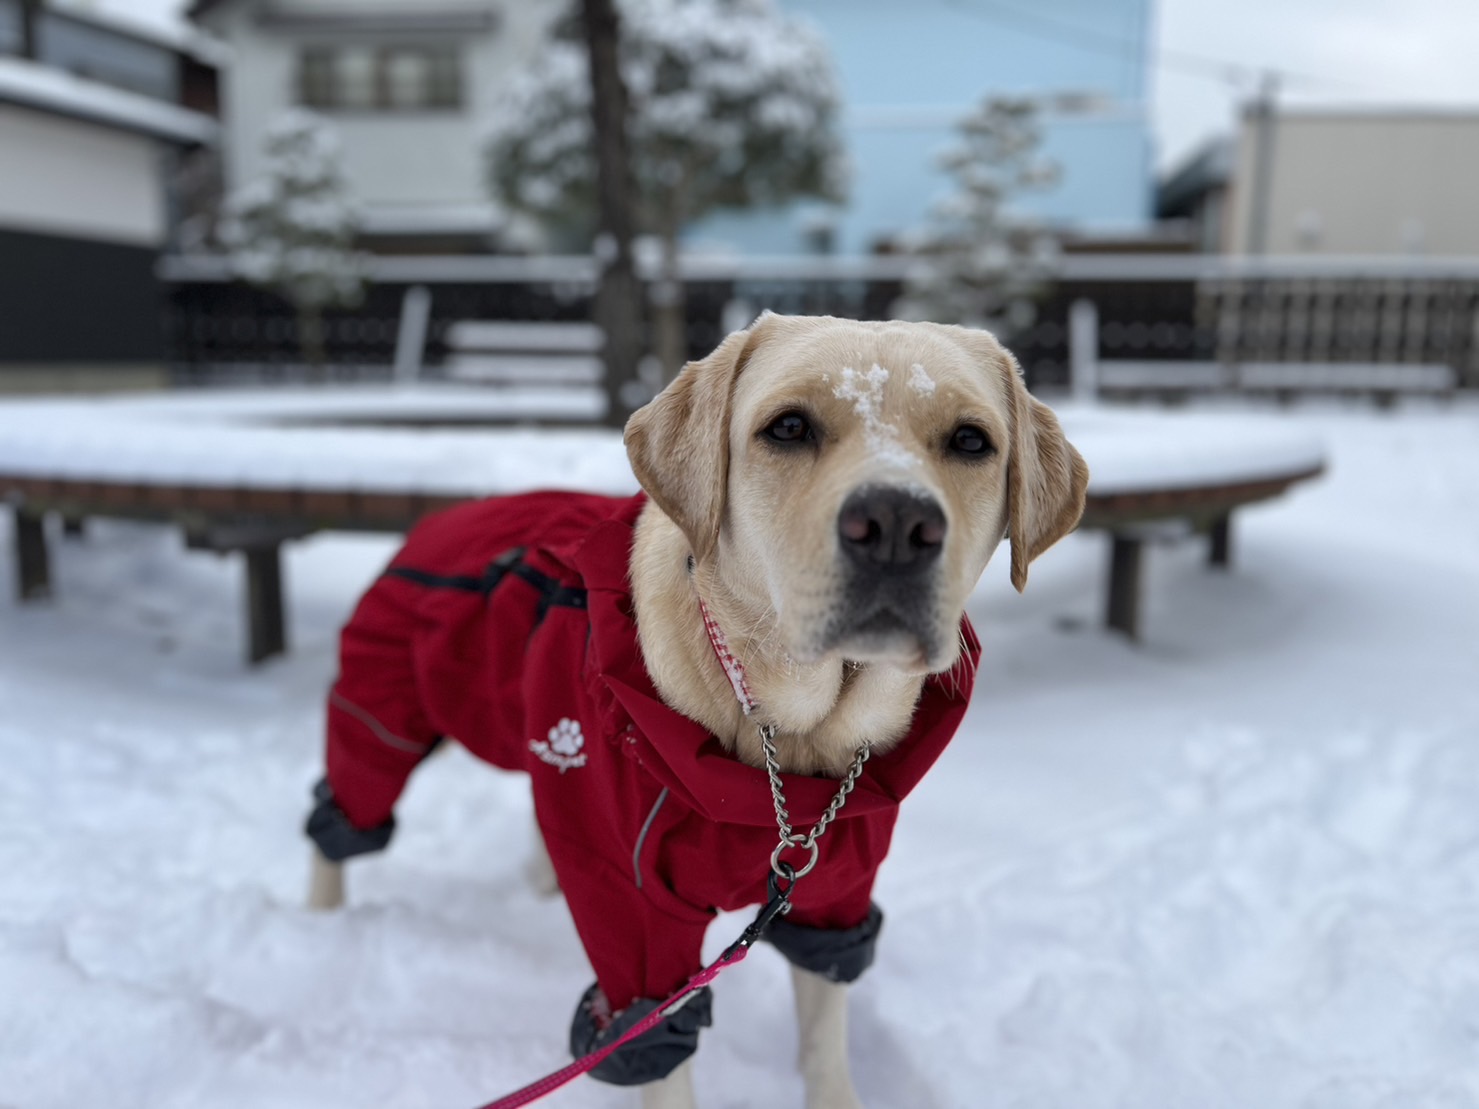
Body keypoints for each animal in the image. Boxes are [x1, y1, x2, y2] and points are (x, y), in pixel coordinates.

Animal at [306, 314, 1088, 1109]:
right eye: (788, 426)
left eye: (970, 440)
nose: (897, 523)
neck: (787, 741)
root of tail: (451, 513)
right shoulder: (633, 906)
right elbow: (654, 1042)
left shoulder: (835, 885)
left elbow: (825, 1033)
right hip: (383, 709)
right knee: (342, 812)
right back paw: (321, 926)